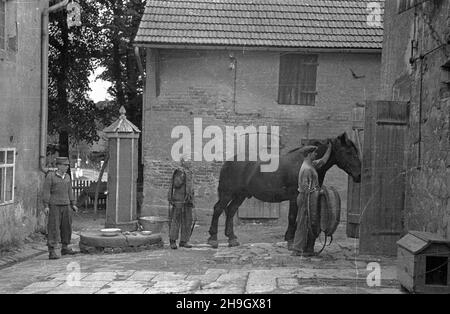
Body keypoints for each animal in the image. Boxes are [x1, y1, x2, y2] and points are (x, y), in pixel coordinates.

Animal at [208, 132, 362, 248]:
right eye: (348, 152)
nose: (359, 175)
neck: (307, 163)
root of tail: (228, 162)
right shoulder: (295, 197)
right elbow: (292, 217)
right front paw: (290, 240)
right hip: (227, 193)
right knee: (218, 209)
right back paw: (213, 239)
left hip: (240, 195)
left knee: (230, 211)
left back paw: (232, 238)